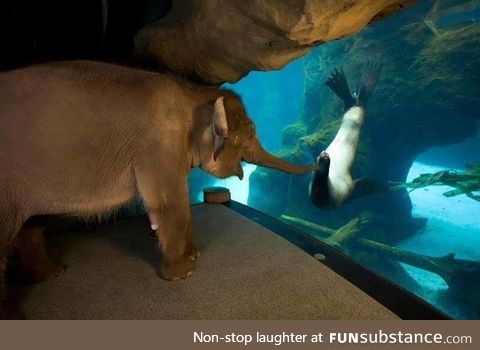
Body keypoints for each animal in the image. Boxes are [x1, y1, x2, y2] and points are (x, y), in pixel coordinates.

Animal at [0, 59, 314, 314]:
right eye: (249, 135)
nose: (316, 160)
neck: (193, 93)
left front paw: (194, 254)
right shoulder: (158, 146)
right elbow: (170, 203)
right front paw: (183, 273)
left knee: (32, 224)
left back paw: (51, 274)